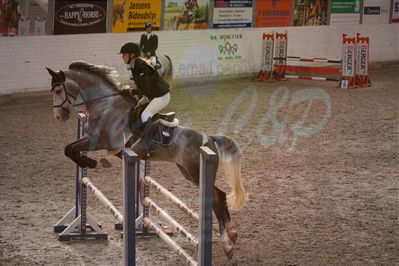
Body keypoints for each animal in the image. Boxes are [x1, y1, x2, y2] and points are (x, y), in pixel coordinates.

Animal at [46, 61, 247, 258]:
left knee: (217, 197)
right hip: (187, 172)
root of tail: (209, 139)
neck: (105, 103)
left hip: (196, 172)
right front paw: (93, 163)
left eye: (58, 90)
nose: (59, 116)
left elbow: (71, 150)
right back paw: (232, 236)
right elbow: (69, 149)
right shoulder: (91, 138)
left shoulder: (102, 141)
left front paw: (96, 163)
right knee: (219, 197)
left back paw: (228, 244)